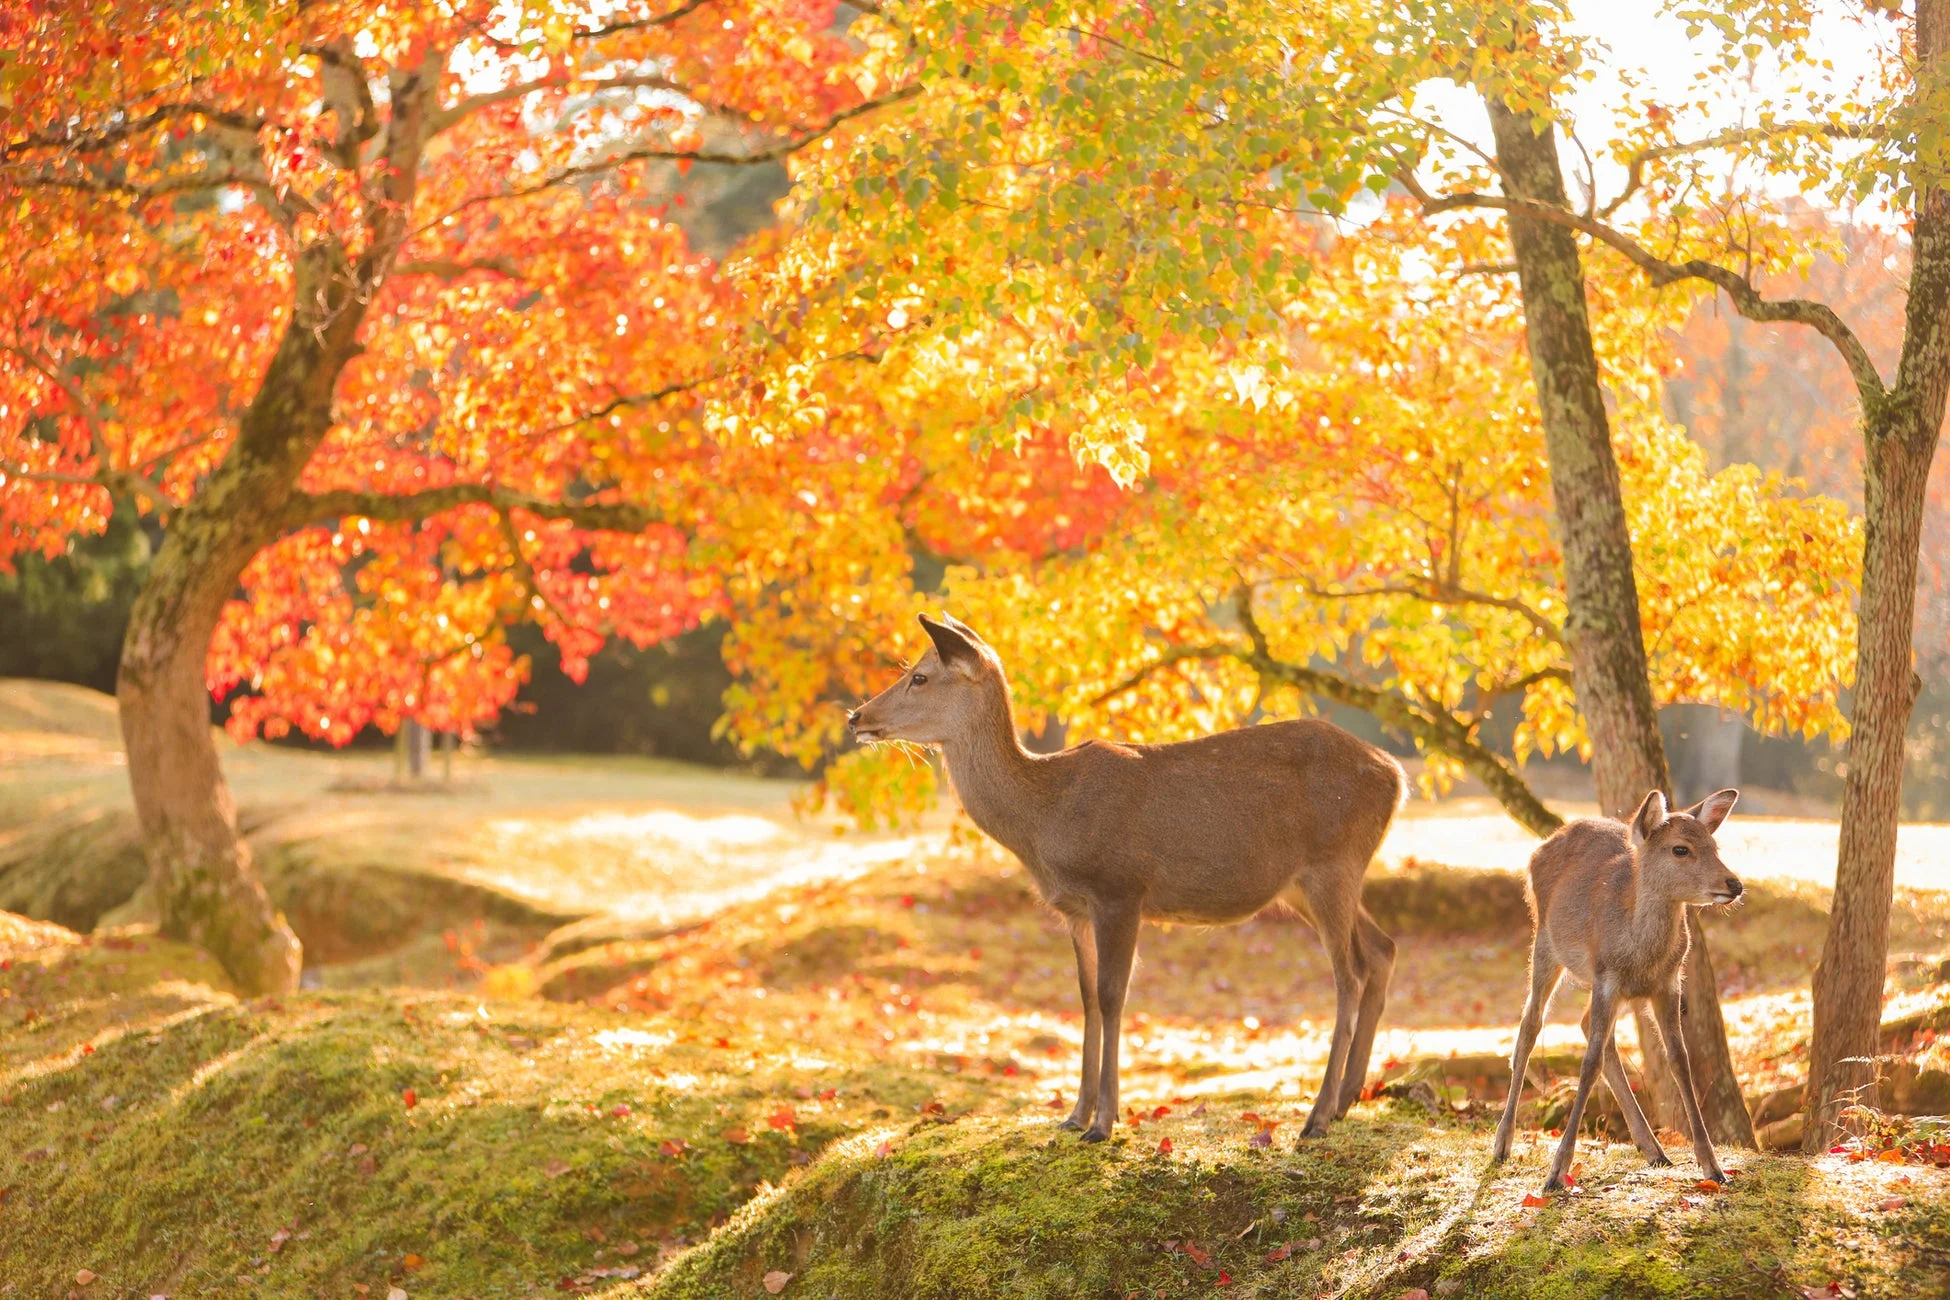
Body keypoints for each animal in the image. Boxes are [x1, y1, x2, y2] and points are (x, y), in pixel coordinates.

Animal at [847, 613, 1408, 1143]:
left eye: (919, 677)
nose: (856, 716)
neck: (1044, 820)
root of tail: (1397, 776)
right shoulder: (1074, 908)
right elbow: (1086, 996)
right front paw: (1074, 1115)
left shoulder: (1120, 888)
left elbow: (1113, 994)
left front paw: (1104, 1122)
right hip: (1312, 883)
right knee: (1382, 949)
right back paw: (1348, 1098)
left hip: (1334, 863)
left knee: (1349, 975)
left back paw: (1318, 1116)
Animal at [1491, 788, 1744, 1194]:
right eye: (1680, 849)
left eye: (1714, 845)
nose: (1734, 884)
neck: (1640, 953)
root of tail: (1541, 847)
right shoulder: (1607, 977)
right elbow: (1588, 1063)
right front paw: (1555, 1173)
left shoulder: (1667, 983)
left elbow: (1680, 1060)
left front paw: (1713, 1167)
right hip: (1545, 942)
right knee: (1530, 1026)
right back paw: (1502, 1143)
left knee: (1586, 1026)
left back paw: (1654, 1148)